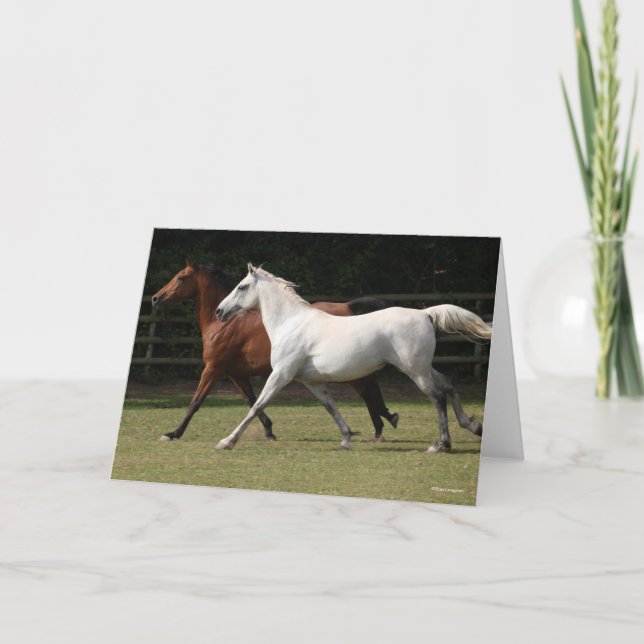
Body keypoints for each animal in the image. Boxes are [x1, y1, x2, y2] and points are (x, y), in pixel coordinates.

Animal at [150, 259, 399, 442]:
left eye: (181, 277)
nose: (155, 298)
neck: (222, 325)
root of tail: (347, 306)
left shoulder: (213, 369)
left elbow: (195, 402)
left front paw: (173, 433)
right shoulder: (235, 373)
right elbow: (252, 400)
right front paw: (269, 431)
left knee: (367, 389)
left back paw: (382, 425)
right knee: (369, 388)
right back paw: (383, 422)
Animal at [214, 264, 491, 454]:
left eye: (241, 287)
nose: (219, 311)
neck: (291, 324)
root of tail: (425, 314)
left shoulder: (281, 375)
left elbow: (256, 406)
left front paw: (227, 441)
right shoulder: (311, 382)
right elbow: (331, 407)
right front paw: (346, 438)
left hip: (415, 370)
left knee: (438, 396)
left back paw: (441, 444)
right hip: (422, 367)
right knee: (449, 385)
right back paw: (473, 427)